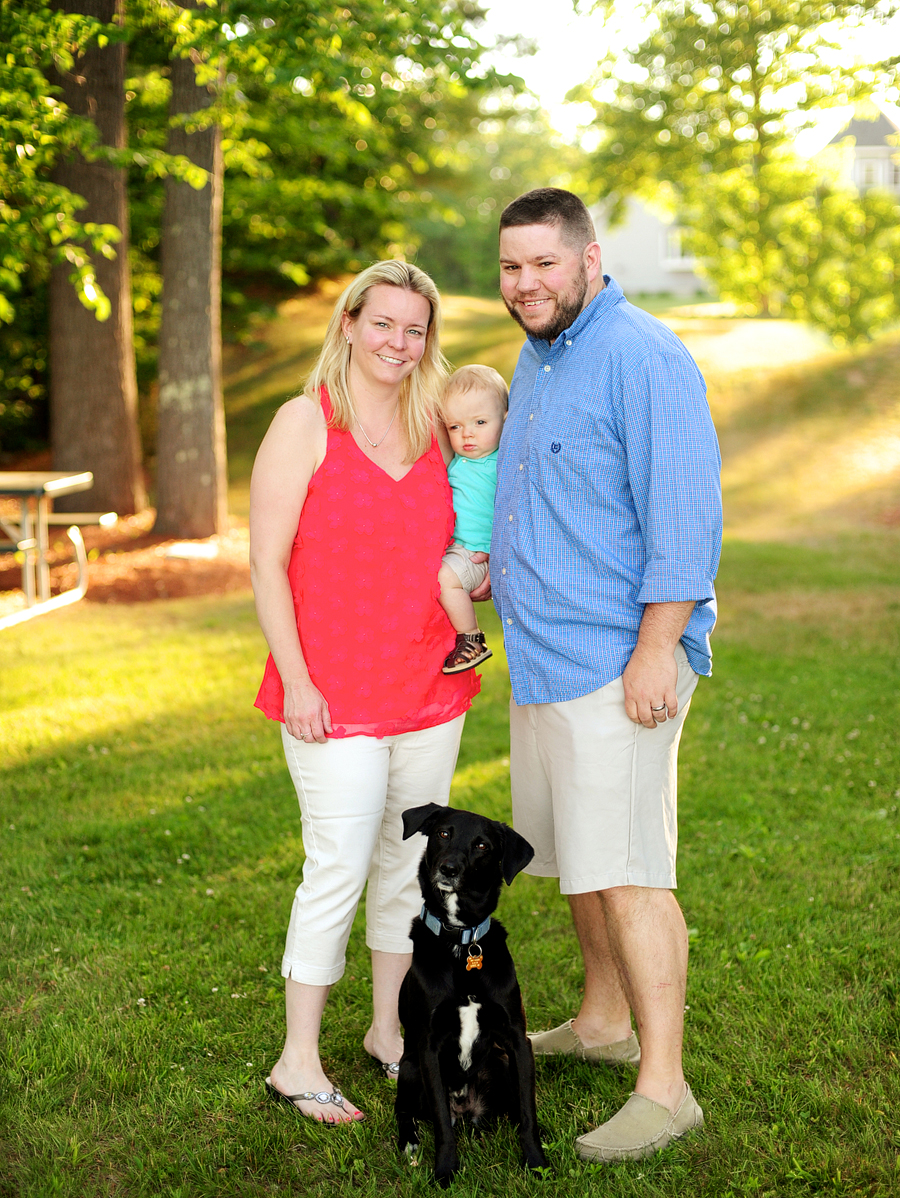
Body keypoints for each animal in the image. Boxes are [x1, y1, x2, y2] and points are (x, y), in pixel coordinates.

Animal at [395, 800, 548, 1183]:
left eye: (482, 845)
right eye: (443, 833)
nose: (448, 868)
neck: (462, 943)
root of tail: (467, 1109)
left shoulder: (517, 1039)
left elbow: (528, 1111)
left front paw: (536, 1161)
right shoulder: (428, 1047)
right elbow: (441, 1124)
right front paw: (445, 1171)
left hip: (501, 1061)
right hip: (409, 1068)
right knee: (406, 1112)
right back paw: (409, 1143)